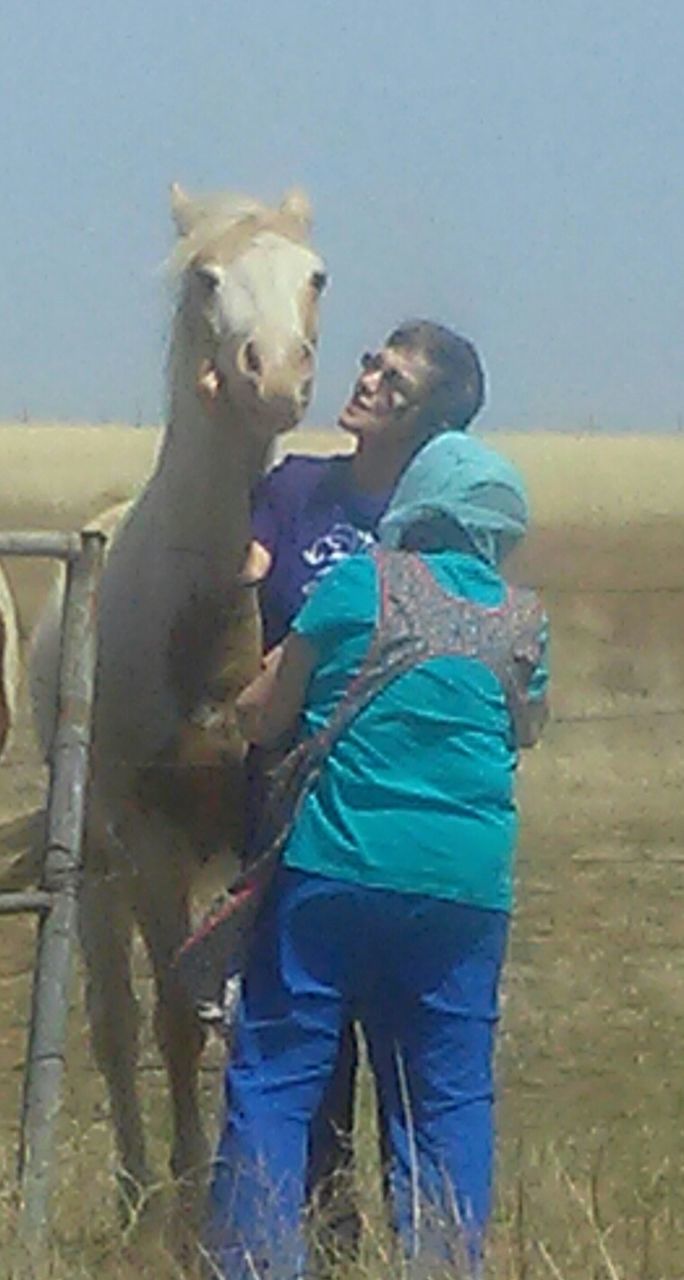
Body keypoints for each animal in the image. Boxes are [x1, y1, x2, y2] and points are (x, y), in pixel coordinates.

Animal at [30, 185, 330, 1203]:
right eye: (206, 277)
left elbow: (247, 1017)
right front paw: (192, 1202)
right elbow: (170, 1019)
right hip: (98, 864)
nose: (273, 374)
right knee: (115, 1021)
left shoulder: (254, 832)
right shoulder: (152, 843)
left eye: (314, 275)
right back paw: (136, 1190)